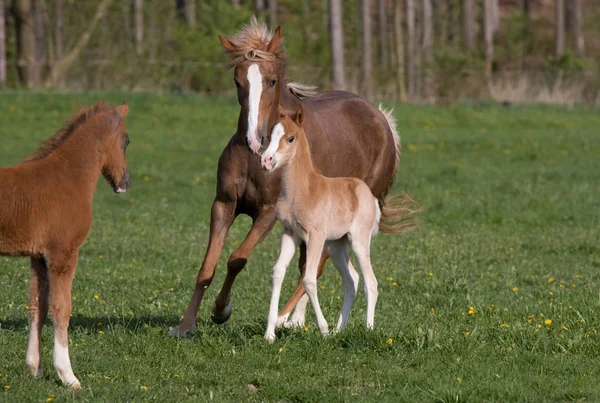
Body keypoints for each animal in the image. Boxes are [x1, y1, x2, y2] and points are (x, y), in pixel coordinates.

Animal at [0, 102, 131, 390]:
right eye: (127, 141)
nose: (126, 183)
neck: (68, 177)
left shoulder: (39, 257)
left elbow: (37, 306)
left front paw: (34, 369)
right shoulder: (63, 255)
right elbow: (62, 308)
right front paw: (68, 375)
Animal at [262, 105, 404, 342]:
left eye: (290, 138)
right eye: (269, 135)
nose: (267, 160)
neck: (302, 189)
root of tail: (369, 195)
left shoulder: (315, 237)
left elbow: (309, 279)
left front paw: (323, 330)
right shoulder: (290, 233)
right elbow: (278, 272)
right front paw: (269, 334)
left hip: (358, 241)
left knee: (370, 282)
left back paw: (368, 329)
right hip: (336, 246)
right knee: (352, 280)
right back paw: (340, 329)